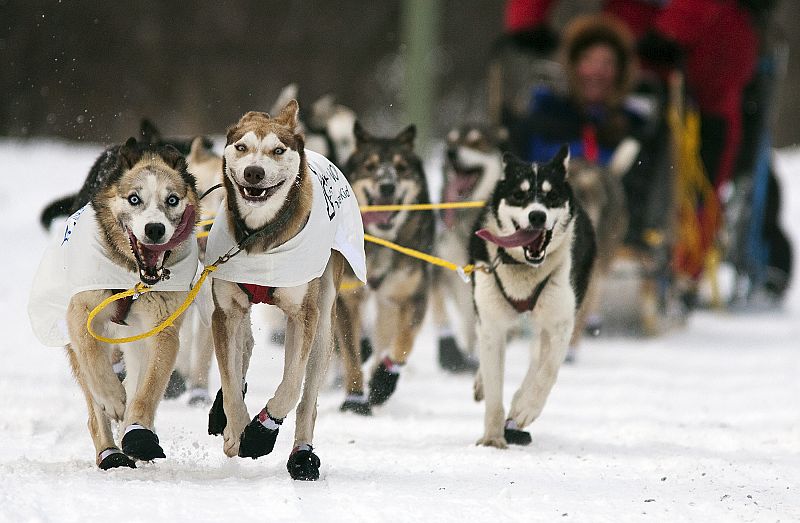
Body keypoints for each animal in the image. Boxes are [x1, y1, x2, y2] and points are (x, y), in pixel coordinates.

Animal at [206, 102, 368, 484]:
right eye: (241, 147)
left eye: (278, 150)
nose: (253, 172)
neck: (259, 235)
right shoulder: (226, 311)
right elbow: (230, 379)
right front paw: (236, 428)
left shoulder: (303, 315)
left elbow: (292, 385)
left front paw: (260, 432)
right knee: (245, 348)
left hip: (325, 320)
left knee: (307, 397)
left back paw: (302, 456)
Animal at [468, 145, 592, 448]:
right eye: (519, 194)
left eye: (551, 195)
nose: (537, 216)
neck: (525, 269)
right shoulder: (491, 325)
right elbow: (494, 388)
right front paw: (492, 438)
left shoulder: (560, 324)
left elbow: (547, 371)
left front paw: (525, 408)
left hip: (545, 322)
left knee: (538, 359)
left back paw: (519, 402)